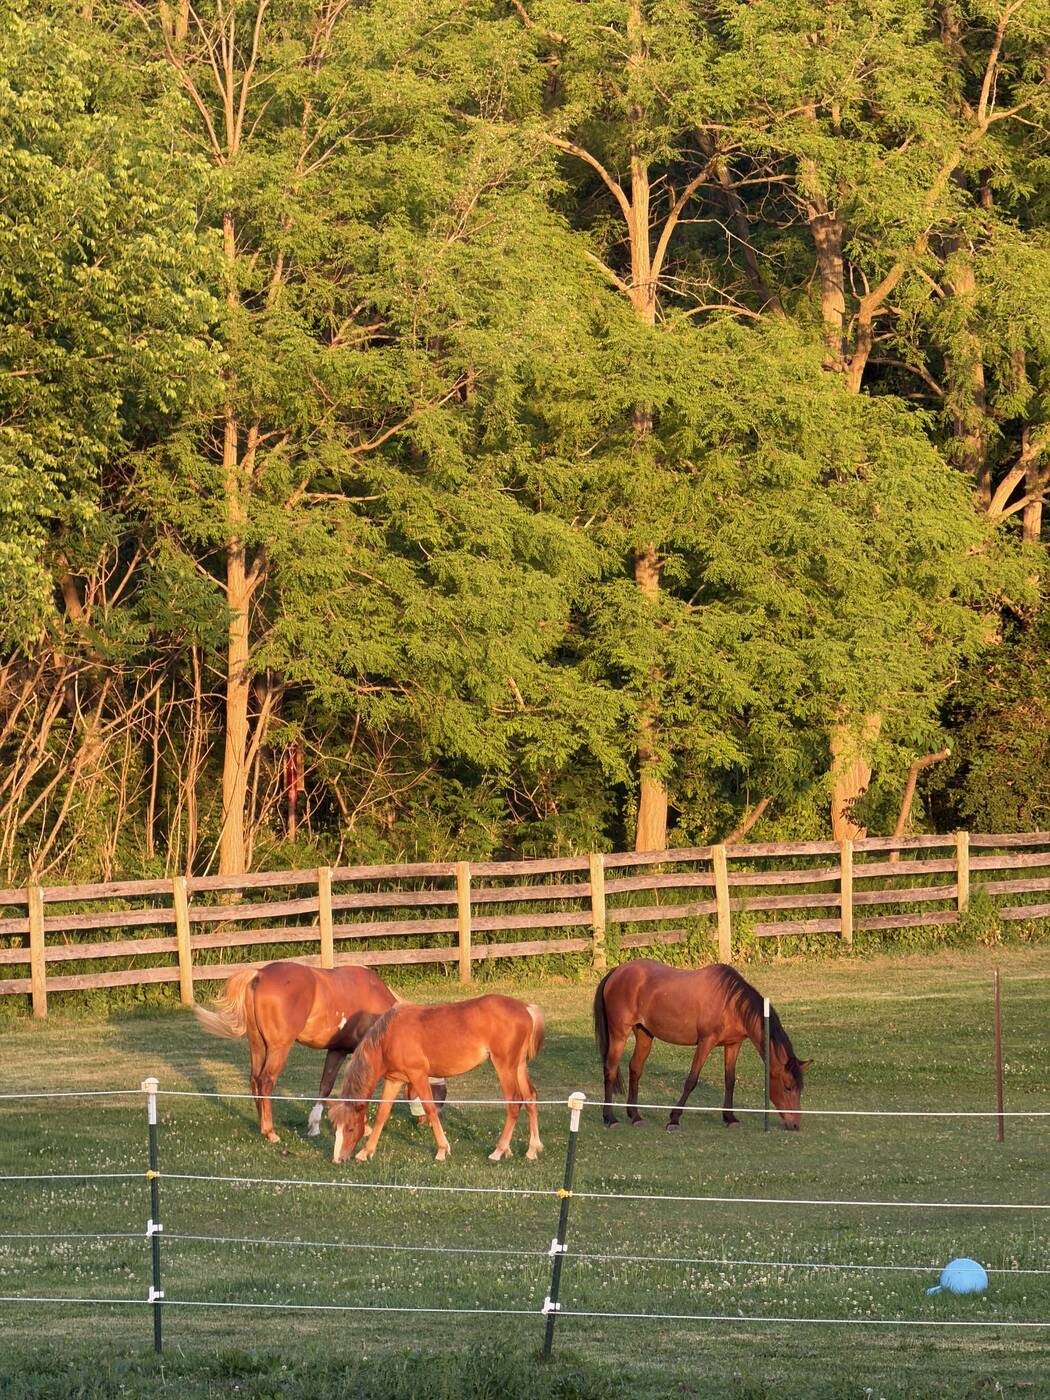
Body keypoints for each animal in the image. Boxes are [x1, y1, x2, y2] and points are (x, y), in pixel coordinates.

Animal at [193, 960, 445, 1142]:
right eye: (438, 1095)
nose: (426, 1121)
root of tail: (259, 974)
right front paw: (362, 1127)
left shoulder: (336, 1051)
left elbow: (326, 1086)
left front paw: (314, 1125)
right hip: (278, 1049)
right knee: (265, 1081)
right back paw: (270, 1131)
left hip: (257, 1046)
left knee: (254, 1080)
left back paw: (261, 1124)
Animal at [328, 994, 545, 1165]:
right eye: (335, 1128)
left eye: (350, 1128)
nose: (337, 1159)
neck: (388, 1037)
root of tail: (526, 1008)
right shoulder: (394, 1080)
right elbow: (383, 1113)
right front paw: (366, 1152)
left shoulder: (418, 1076)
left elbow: (430, 1108)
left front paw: (442, 1149)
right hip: (519, 1066)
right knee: (530, 1098)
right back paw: (532, 1150)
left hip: (505, 1067)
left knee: (514, 1103)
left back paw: (499, 1150)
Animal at [593, 959, 811, 1131]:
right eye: (788, 1087)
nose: (795, 1125)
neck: (731, 1003)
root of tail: (616, 972)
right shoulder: (706, 1042)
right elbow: (691, 1080)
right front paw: (674, 1119)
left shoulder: (733, 1045)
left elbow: (730, 1080)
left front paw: (730, 1118)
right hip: (619, 1034)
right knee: (610, 1070)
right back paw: (610, 1118)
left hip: (644, 1034)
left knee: (635, 1069)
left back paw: (636, 1116)